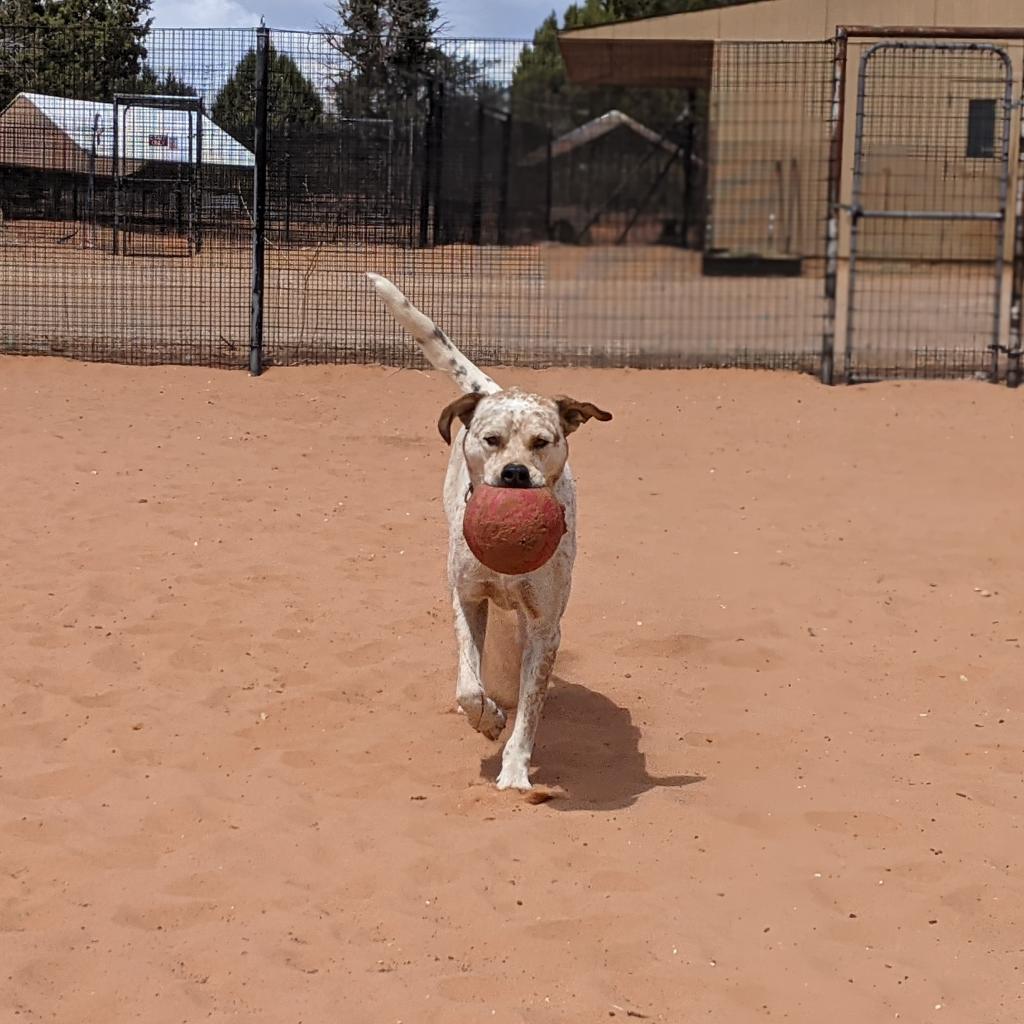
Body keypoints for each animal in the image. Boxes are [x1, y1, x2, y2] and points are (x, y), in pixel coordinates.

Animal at [366, 274, 610, 790]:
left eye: (542, 442)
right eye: (491, 440)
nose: (515, 473)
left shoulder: (544, 625)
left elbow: (531, 708)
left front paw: (515, 769)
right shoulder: (467, 598)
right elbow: (468, 684)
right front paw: (488, 717)